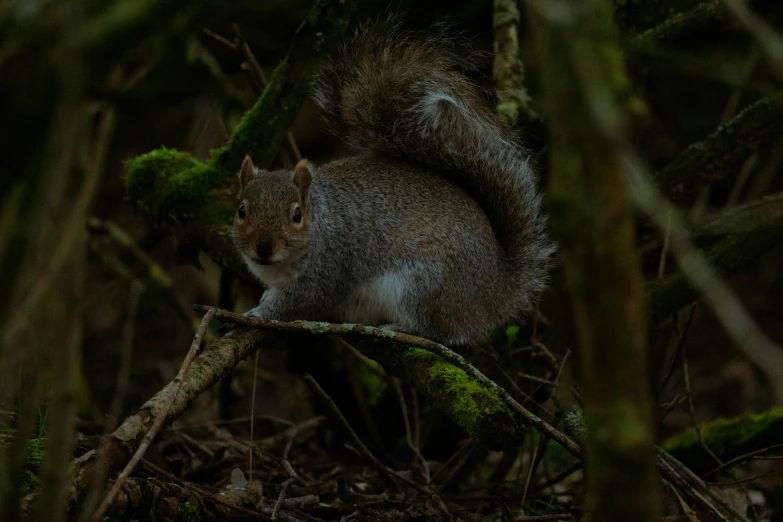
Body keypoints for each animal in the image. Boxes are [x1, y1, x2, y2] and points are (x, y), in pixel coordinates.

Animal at [233, 21, 556, 346]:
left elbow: (301, 299)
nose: (263, 247)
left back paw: (398, 328)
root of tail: (494, 292)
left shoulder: (329, 265)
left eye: (296, 214)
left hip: (422, 282)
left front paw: (257, 314)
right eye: (241, 210)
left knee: (435, 330)